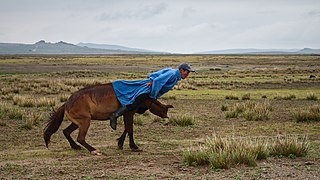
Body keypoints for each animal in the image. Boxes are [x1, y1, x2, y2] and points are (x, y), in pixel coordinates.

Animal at [43, 83, 172, 155]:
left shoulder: (125, 114)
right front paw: (133, 146)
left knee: (66, 131)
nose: (166, 116)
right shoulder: (129, 113)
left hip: (77, 122)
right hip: (85, 121)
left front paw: (120, 143)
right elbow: (130, 129)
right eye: (164, 110)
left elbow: (126, 128)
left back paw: (75, 147)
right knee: (80, 138)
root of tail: (66, 103)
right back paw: (94, 150)